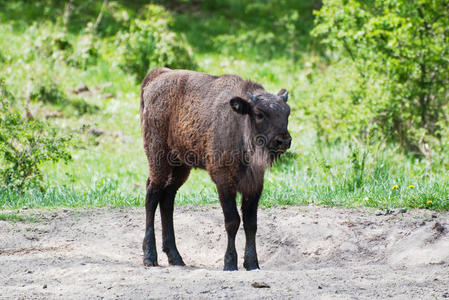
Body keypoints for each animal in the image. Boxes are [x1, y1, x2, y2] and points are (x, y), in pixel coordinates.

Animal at [142, 68, 292, 272]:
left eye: (287, 113)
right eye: (259, 114)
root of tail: (158, 75)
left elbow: (251, 223)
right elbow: (232, 221)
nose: (284, 140)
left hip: (180, 167)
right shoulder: (223, 182)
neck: (239, 124)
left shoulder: (254, 185)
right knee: (152, 195)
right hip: (158, 159)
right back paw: (150, 256)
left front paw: (252, 263)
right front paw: (230, 263)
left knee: (167, 199)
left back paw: (176, 257)